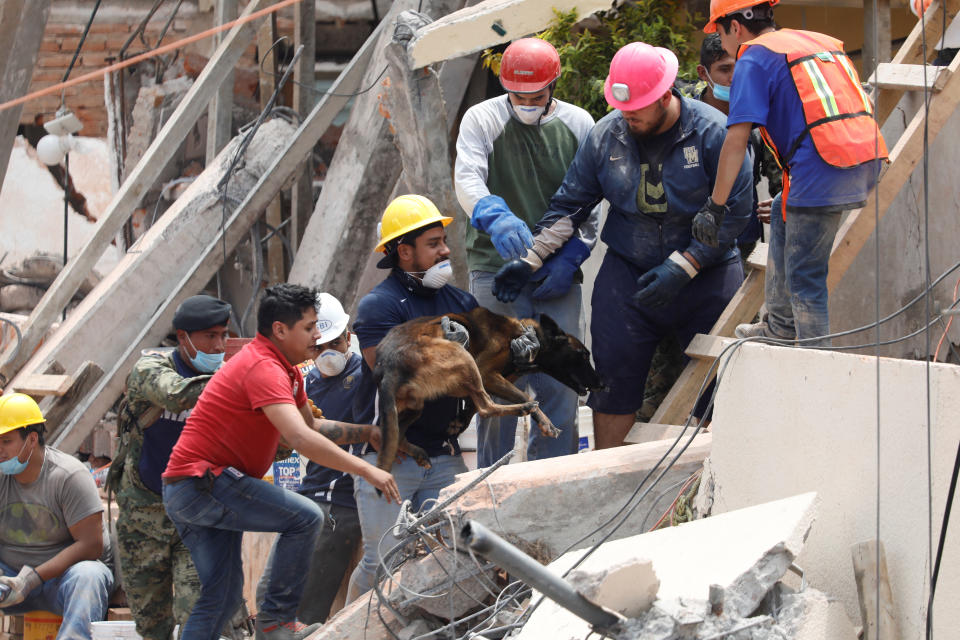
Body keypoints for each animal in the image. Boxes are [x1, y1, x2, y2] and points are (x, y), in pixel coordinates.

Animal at [374, 308, 604, 472]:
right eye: (583, 355)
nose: (602, 384)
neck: (522, 334)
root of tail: (388, 363)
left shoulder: (490, 379)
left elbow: (472, 405)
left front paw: (460, 421)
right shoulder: (484, 372)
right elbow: (519, 395)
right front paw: (546, 422)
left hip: (412, 407)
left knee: (388, 436)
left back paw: (417, 452)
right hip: (463, 357)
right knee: (487, 407)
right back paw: (523, 408)